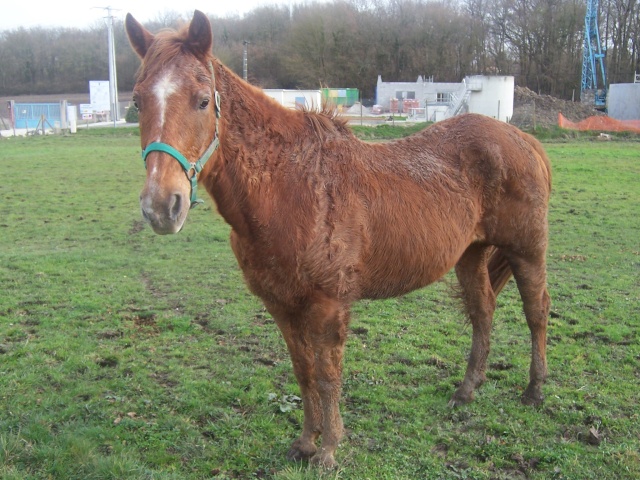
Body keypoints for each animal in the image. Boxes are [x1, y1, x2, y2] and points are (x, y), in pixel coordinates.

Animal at [127, 10, 552, 468]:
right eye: (137, 101)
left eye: (203, 100)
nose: (161, 206)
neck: (292, 186)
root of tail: (525, 140)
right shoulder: (281, 305)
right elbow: (304, 372)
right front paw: (305, 442)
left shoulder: (328, 304)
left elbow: (329, 374)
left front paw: (328, 448)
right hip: (470, 255)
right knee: (483, 311)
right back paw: (466, 390)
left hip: (527, 251)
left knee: (536, 312)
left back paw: (534, 391)